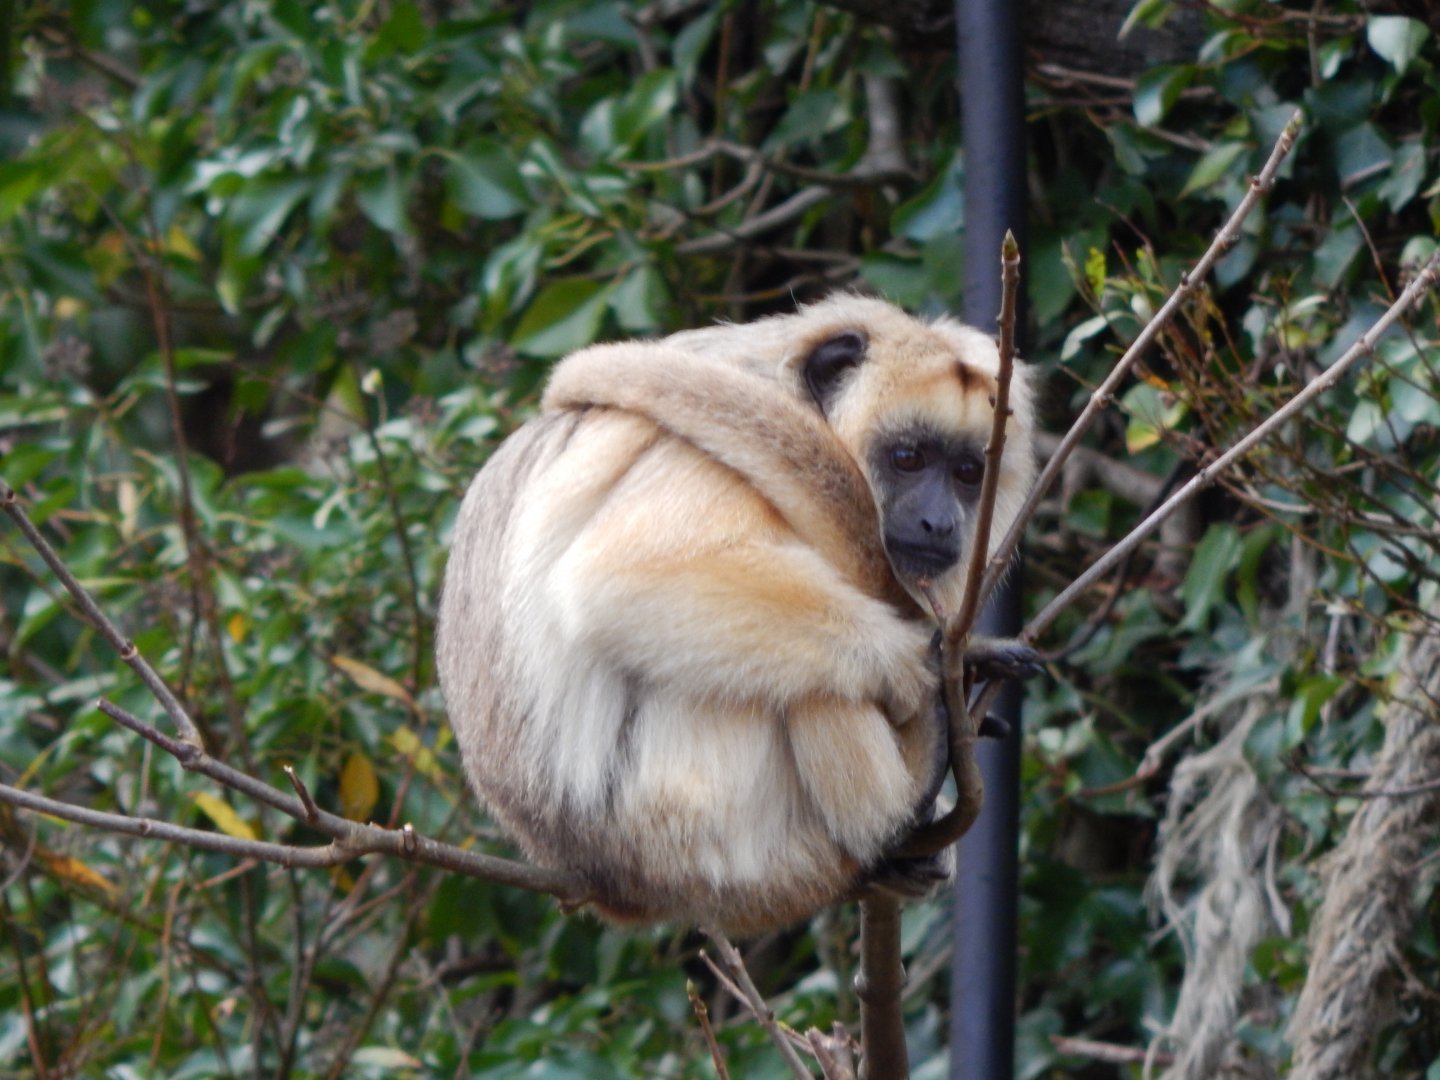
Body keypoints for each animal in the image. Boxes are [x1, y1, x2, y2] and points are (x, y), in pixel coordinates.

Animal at [436, 295, 1037, 935]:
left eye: (969, 472)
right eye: (909, 458)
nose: (938, 522)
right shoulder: (698, 461)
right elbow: (615, 577)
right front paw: (918, 663)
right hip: (701, 815)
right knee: (816, 683)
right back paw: (888, 819)